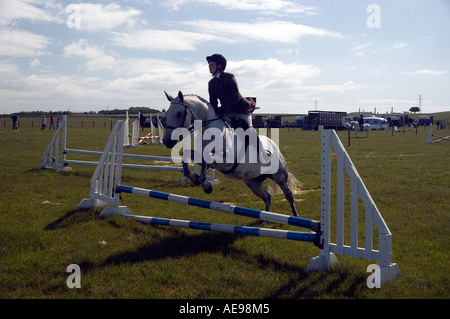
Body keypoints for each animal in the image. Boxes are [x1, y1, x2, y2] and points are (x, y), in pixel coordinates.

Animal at [163, 91, 300, 219]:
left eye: (179, 113)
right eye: (167, 113)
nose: (167, 141)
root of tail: (275, 146)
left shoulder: (226, 159)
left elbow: (207, 158)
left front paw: (206, 185)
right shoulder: (203, 156)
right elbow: (187, 155)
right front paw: (197, 179)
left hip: (280, 176)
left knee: (288, 195)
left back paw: (295, 217)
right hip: (253, 182)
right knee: (267, 197)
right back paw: (265, 220)